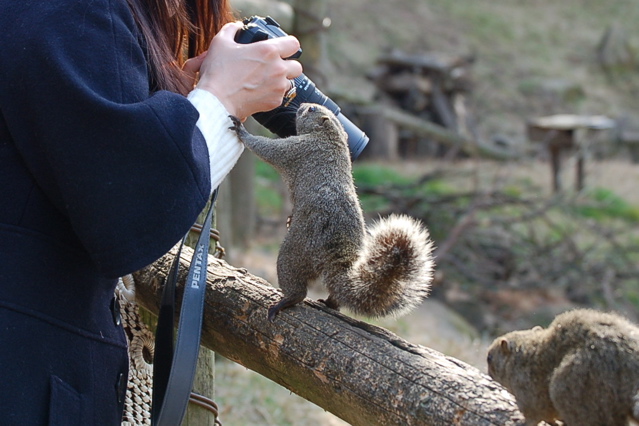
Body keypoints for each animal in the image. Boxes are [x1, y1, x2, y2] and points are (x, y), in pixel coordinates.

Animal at [230, 103, 436, 322]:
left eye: (311, 109)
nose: (301, 104)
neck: (332, 136)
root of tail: (335, 255)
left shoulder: (296, 149)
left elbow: (265, 148)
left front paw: (242, 131)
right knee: (336, 295)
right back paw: (330, 303)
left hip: (294, 251)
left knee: (296, 288)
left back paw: (286, 301)